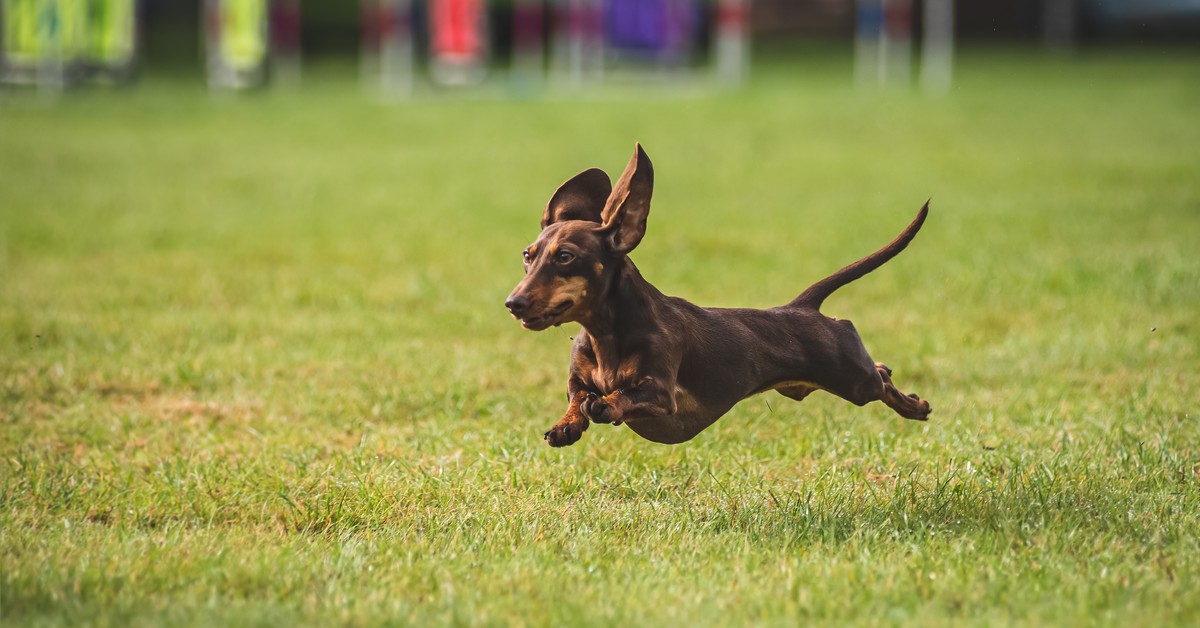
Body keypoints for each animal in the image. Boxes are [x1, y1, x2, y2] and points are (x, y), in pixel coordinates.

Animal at [501, 143, 931, 446]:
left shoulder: (661, 393)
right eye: (528, 255)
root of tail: (801, 307)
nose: (513, 304)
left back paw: (915, 405)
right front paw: (566, 426)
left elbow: (624, 395)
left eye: (566, 257)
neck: (606, 334)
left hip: (855, 379)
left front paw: (606, 404)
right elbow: (577, 397)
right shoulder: (577, 378)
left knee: (880, 376)